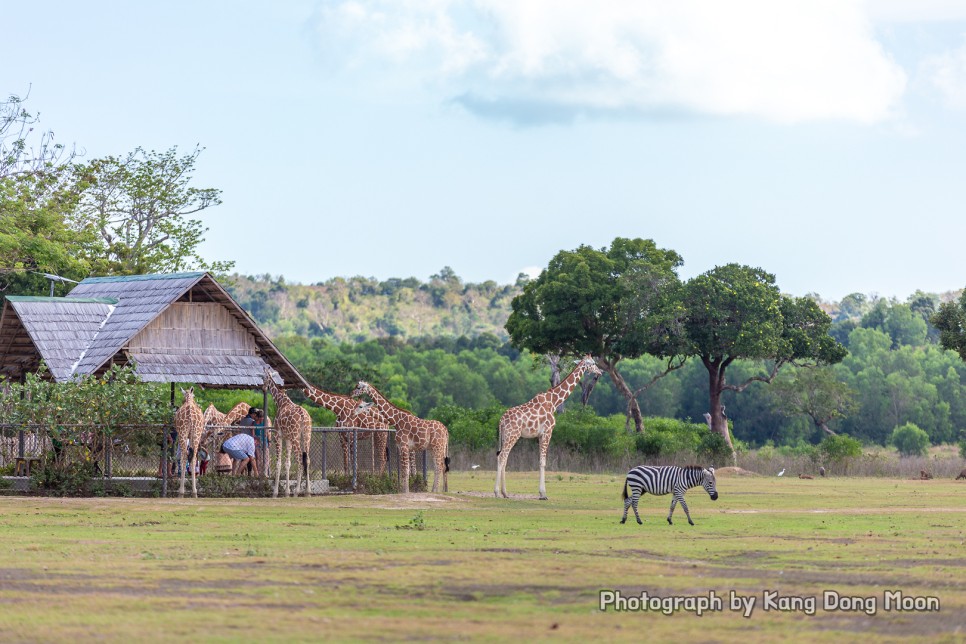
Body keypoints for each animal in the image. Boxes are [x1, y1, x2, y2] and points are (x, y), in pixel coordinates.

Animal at [262, 368, 312, 498]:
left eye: (263, 377)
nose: (263, 388)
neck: (280, 402)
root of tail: (303, 415)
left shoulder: (278, 435)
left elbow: (278, 463)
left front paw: (275, 492)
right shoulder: (288, 438)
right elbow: (287, 463)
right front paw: (286, 492)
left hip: (295, 436)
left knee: (300, 459)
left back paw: (297, 492)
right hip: (307, 435)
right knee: (307, 459)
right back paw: (308, 492)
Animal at [496, 354, 600, 500]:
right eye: (593, 363)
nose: (600, 372)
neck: (554, 401)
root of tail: (501, 420)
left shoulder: (540, 435)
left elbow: (540, 461)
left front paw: (541, 493)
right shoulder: (548, 431)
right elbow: (543, 462)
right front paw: (543, 494)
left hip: (506, 436)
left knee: (504, 458)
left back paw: (505, 493)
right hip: (513, 435)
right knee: (501, 457)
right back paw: (496, 492)